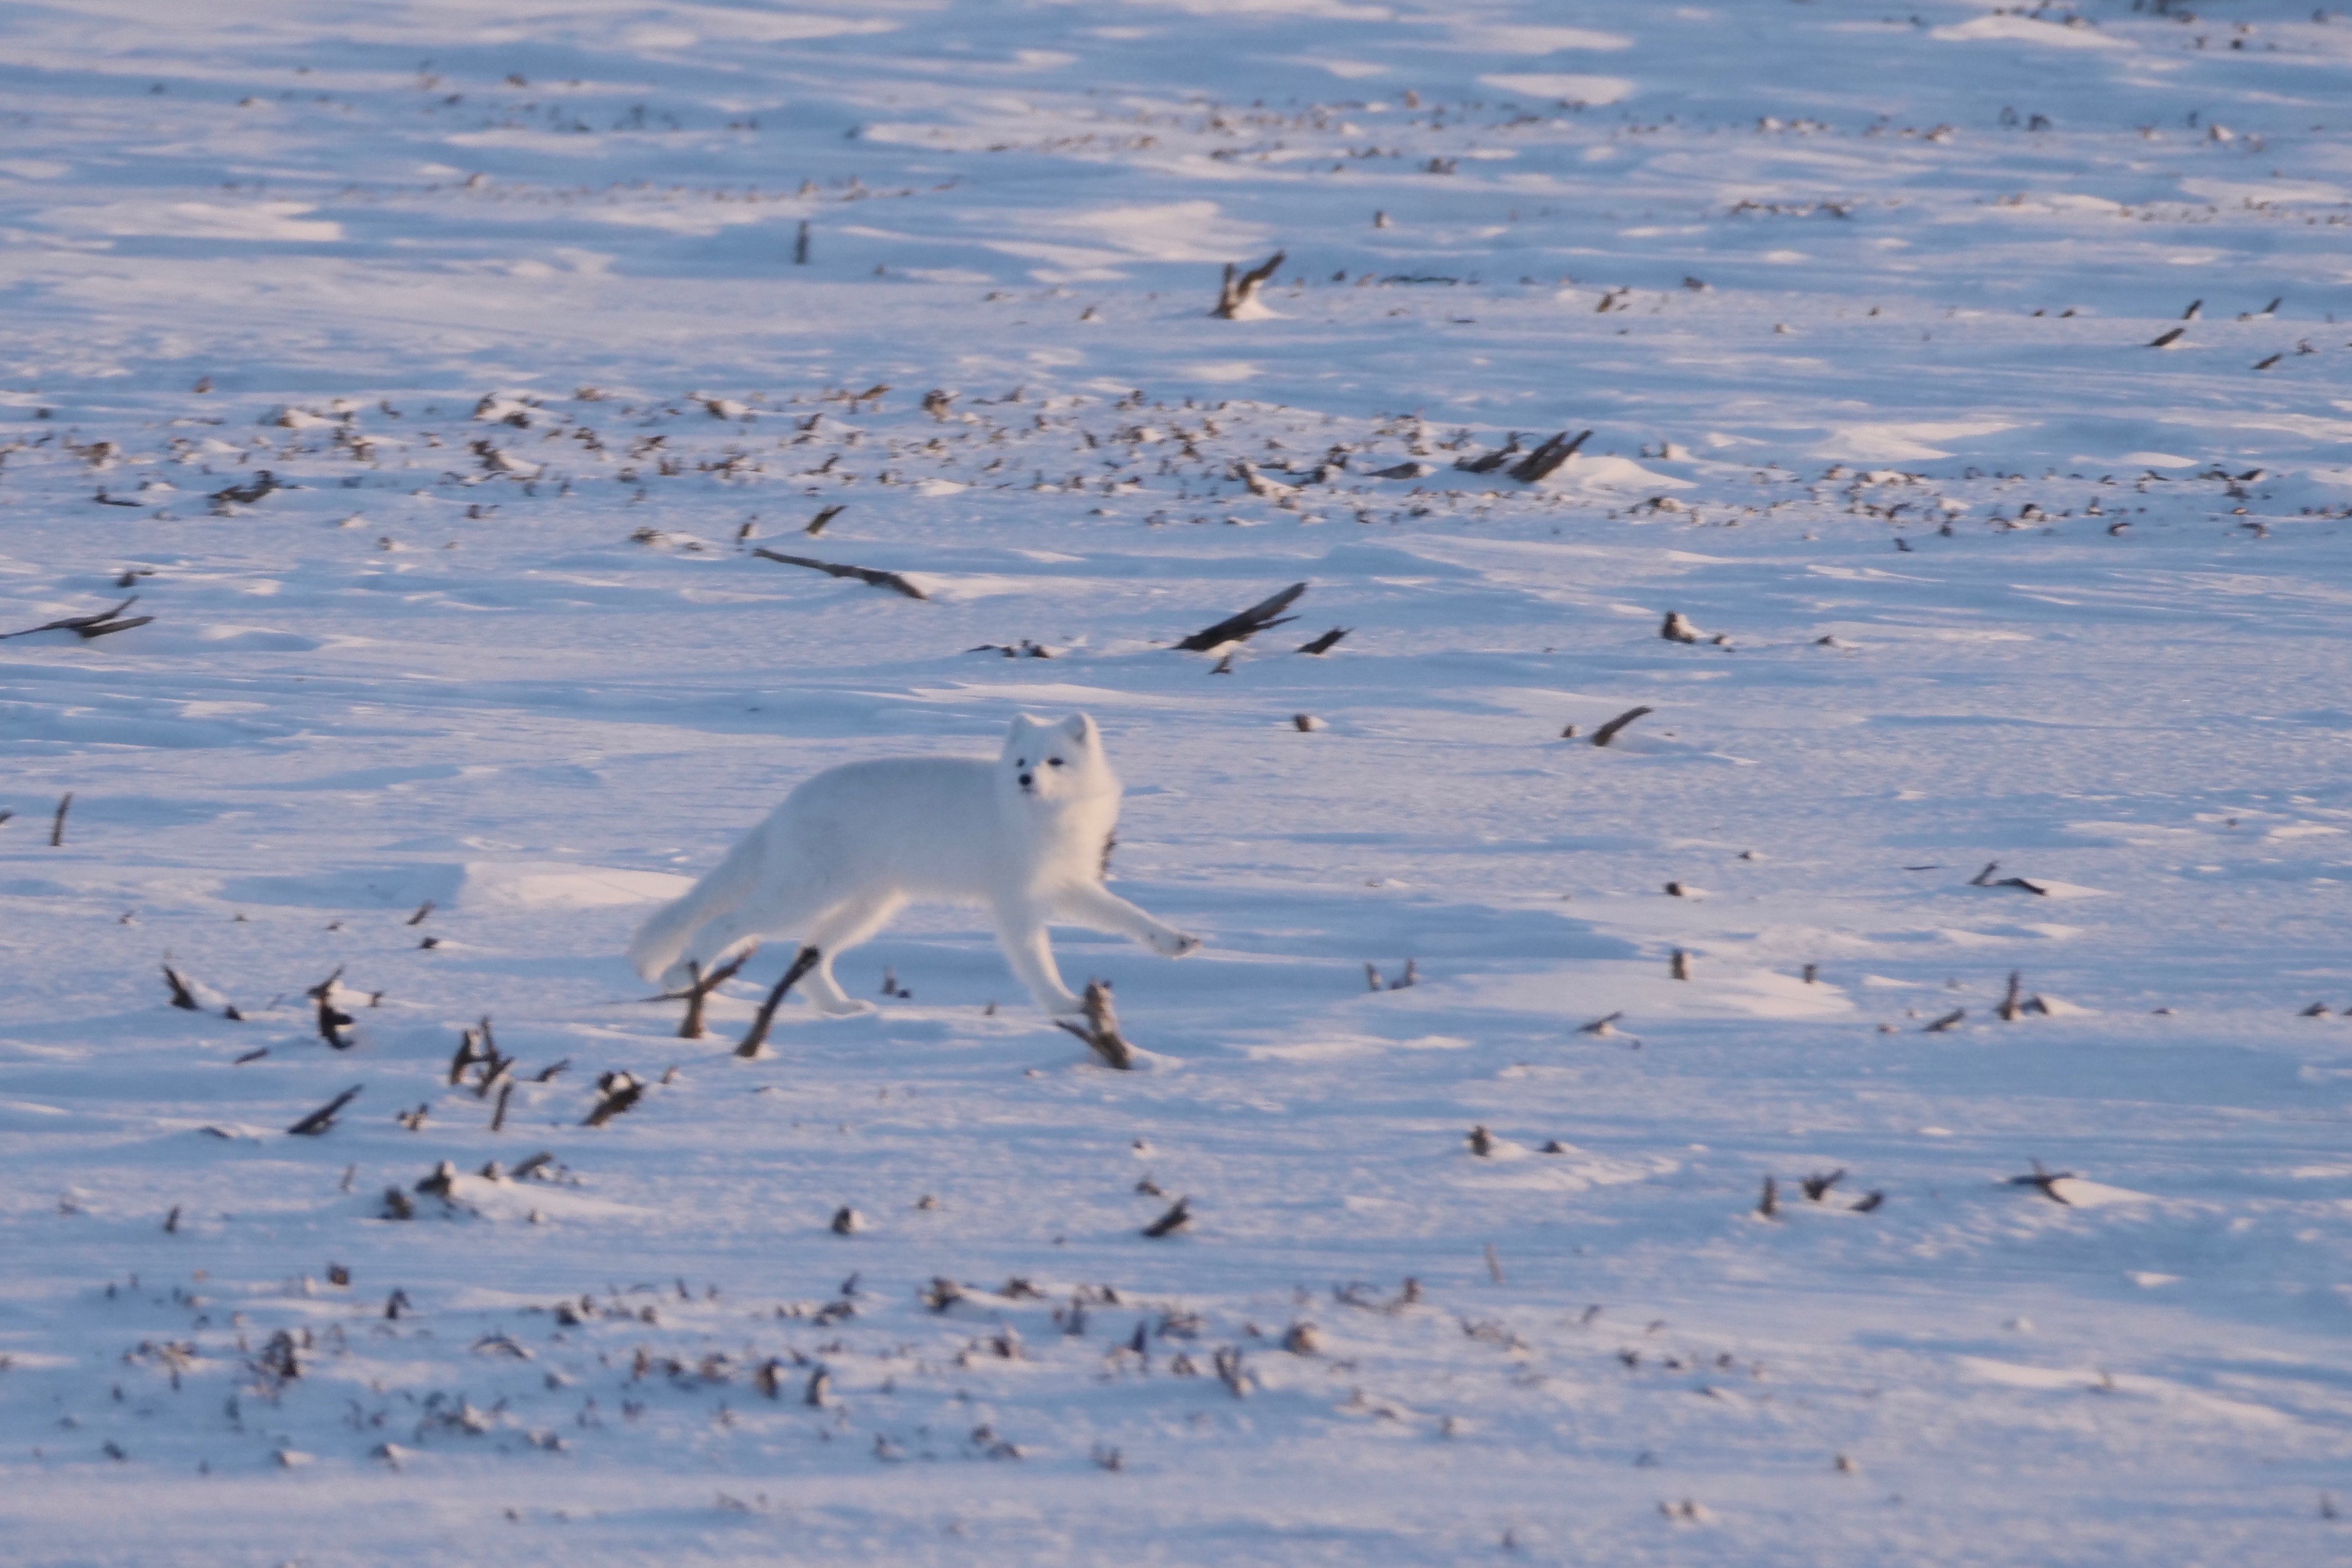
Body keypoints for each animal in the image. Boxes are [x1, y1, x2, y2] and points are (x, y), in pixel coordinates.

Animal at [628, 713, 1200, 1016]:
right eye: (1020, 761)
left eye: (1055, 761)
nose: (1024, 779)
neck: (1045, 819)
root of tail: (786, 805)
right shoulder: (1016, 898)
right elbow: (1034, 956)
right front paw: (1061, 1003)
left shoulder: (1064, 884)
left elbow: (1125, 914)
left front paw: (1174, 940)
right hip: (805, 893)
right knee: (726, 924)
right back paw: (684, 972)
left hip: (868, 906)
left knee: (807, 955)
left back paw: (841, 1008)